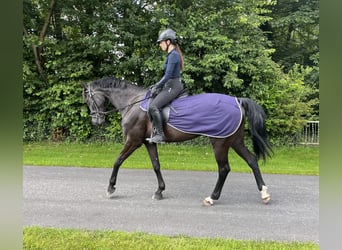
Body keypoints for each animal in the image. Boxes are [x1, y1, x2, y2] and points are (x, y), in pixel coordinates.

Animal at [83, 76, 272, 205]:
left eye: (89, 100)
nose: (96, 121)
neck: (132, 103)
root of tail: (237, 100)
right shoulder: (149, 142)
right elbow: (156, 165)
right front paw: (159, 191)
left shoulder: (134, 141)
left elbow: (117, 161)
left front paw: (110, 188)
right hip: (235, 141)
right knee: (251, 160)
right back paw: (264, 193)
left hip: (220, 142)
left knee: (224, 169)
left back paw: (211, 198)